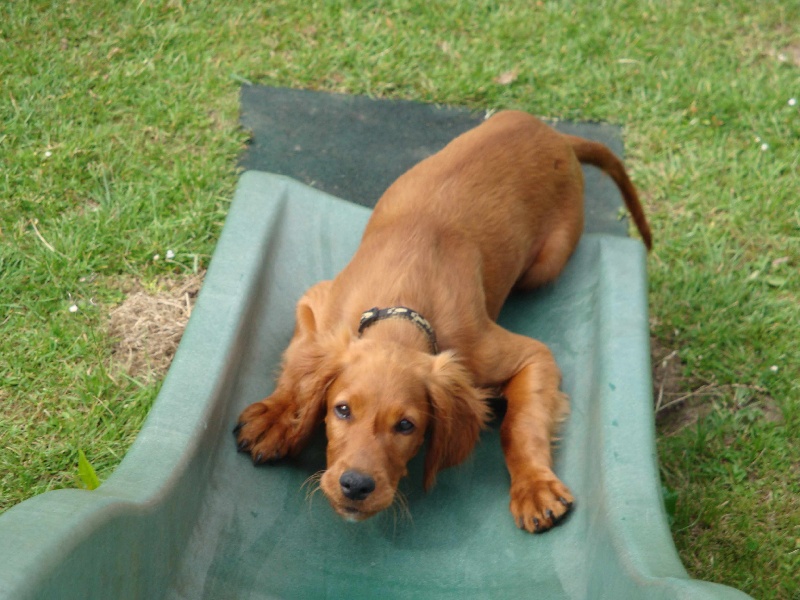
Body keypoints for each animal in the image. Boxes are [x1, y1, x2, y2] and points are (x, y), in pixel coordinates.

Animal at [233, 110, 648, 532]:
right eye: (342, 410)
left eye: (406, 426)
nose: (355, 486)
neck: (401, 312)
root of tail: (554, 133)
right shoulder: (317, 304)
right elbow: (297, 361)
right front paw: (278, 418)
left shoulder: (528, 354)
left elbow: (520, 424)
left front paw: (534, 487)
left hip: (546, 264)